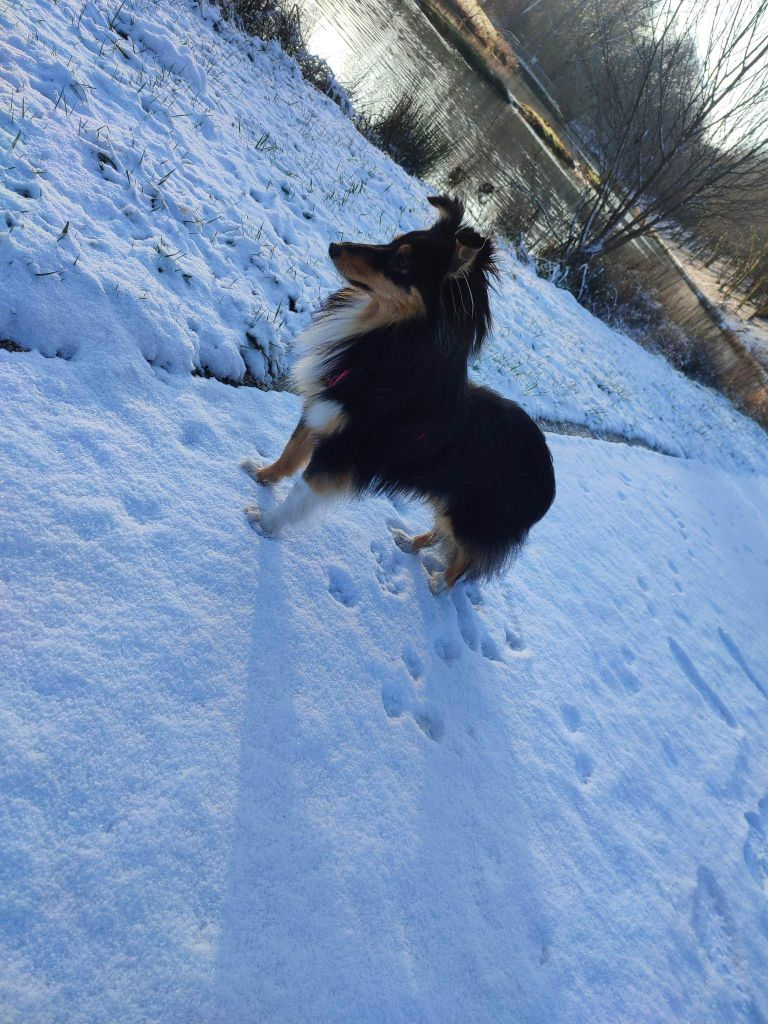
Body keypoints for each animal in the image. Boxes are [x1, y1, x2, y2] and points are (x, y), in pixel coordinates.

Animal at [243, 194, 557, 593]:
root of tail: (550, 482)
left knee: (465, 557)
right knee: (443, 534)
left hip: (470, 516)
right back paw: (411, 543)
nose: (334, 247)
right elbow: (288, 455)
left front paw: (265, 523)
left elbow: (299, 494)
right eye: (392, 242)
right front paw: (261, 475)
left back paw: (439, 584)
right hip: (448, 501)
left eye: (403, 263)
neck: (382, 335)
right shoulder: (320, 413)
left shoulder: (341, 452)